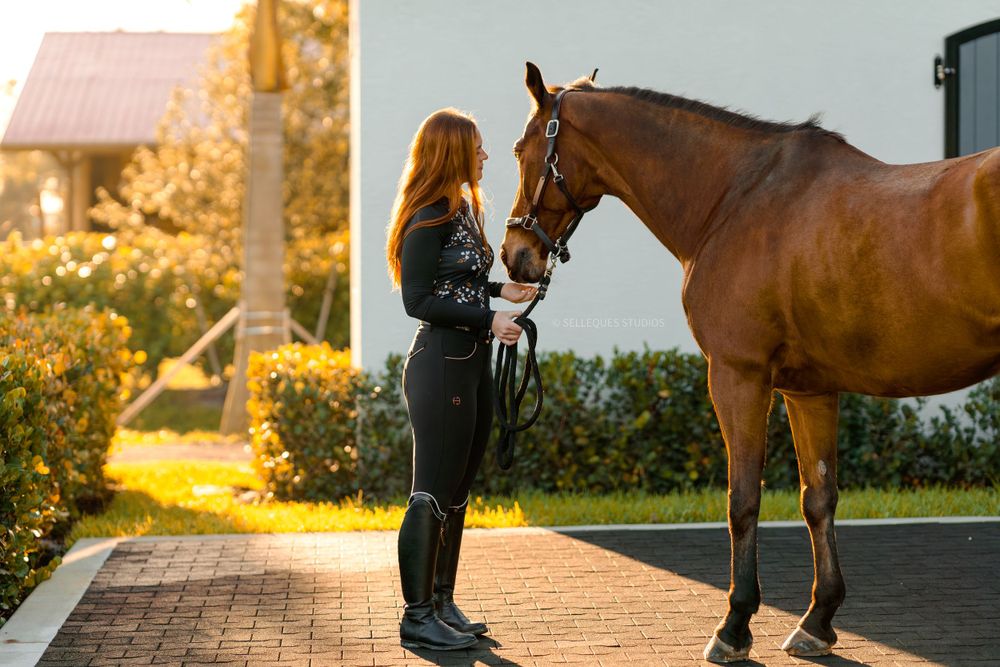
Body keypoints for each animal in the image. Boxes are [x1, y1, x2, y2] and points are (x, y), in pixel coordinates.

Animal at [499, 62, 1000, 663]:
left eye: (520, 148)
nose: (514, 256)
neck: (735, 198)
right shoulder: (809, 389)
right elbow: (818, 499)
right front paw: (817, 620)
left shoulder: (737, 377)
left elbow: (743, 501)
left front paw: (734, 625)